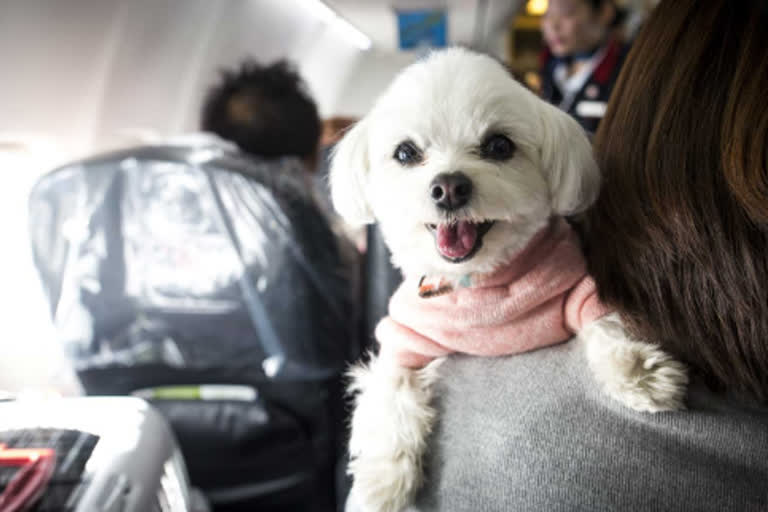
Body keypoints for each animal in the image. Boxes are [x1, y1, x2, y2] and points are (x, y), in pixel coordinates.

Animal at [330, 49, 688, 512]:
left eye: (499, 145)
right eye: (406, 153)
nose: (449, 187)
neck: (478, 284)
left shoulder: (575, 286)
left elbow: (604, 322)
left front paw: (640, 373)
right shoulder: (403, 338)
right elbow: (390, 396)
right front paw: (381, 484)